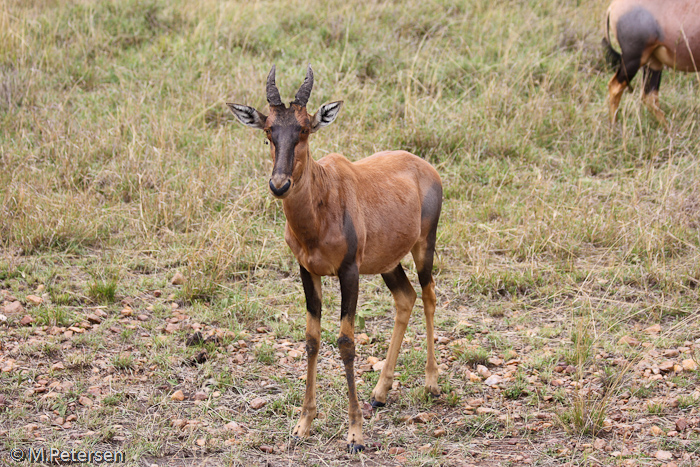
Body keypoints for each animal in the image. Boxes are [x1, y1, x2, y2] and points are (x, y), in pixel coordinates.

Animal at [227, 66, 440, 454]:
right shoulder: (307, 272)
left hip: (423, 247)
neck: (323, 198)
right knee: (406, 298)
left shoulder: (349, 272)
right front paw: (303, 424)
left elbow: (345, 343)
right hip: (388, 263)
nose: (279, 184)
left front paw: (355, 434)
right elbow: (312, 339)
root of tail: (424, 166)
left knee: (429, 295)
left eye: (305, 129)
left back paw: (432, 383)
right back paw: (380, 393)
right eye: (268, 130)